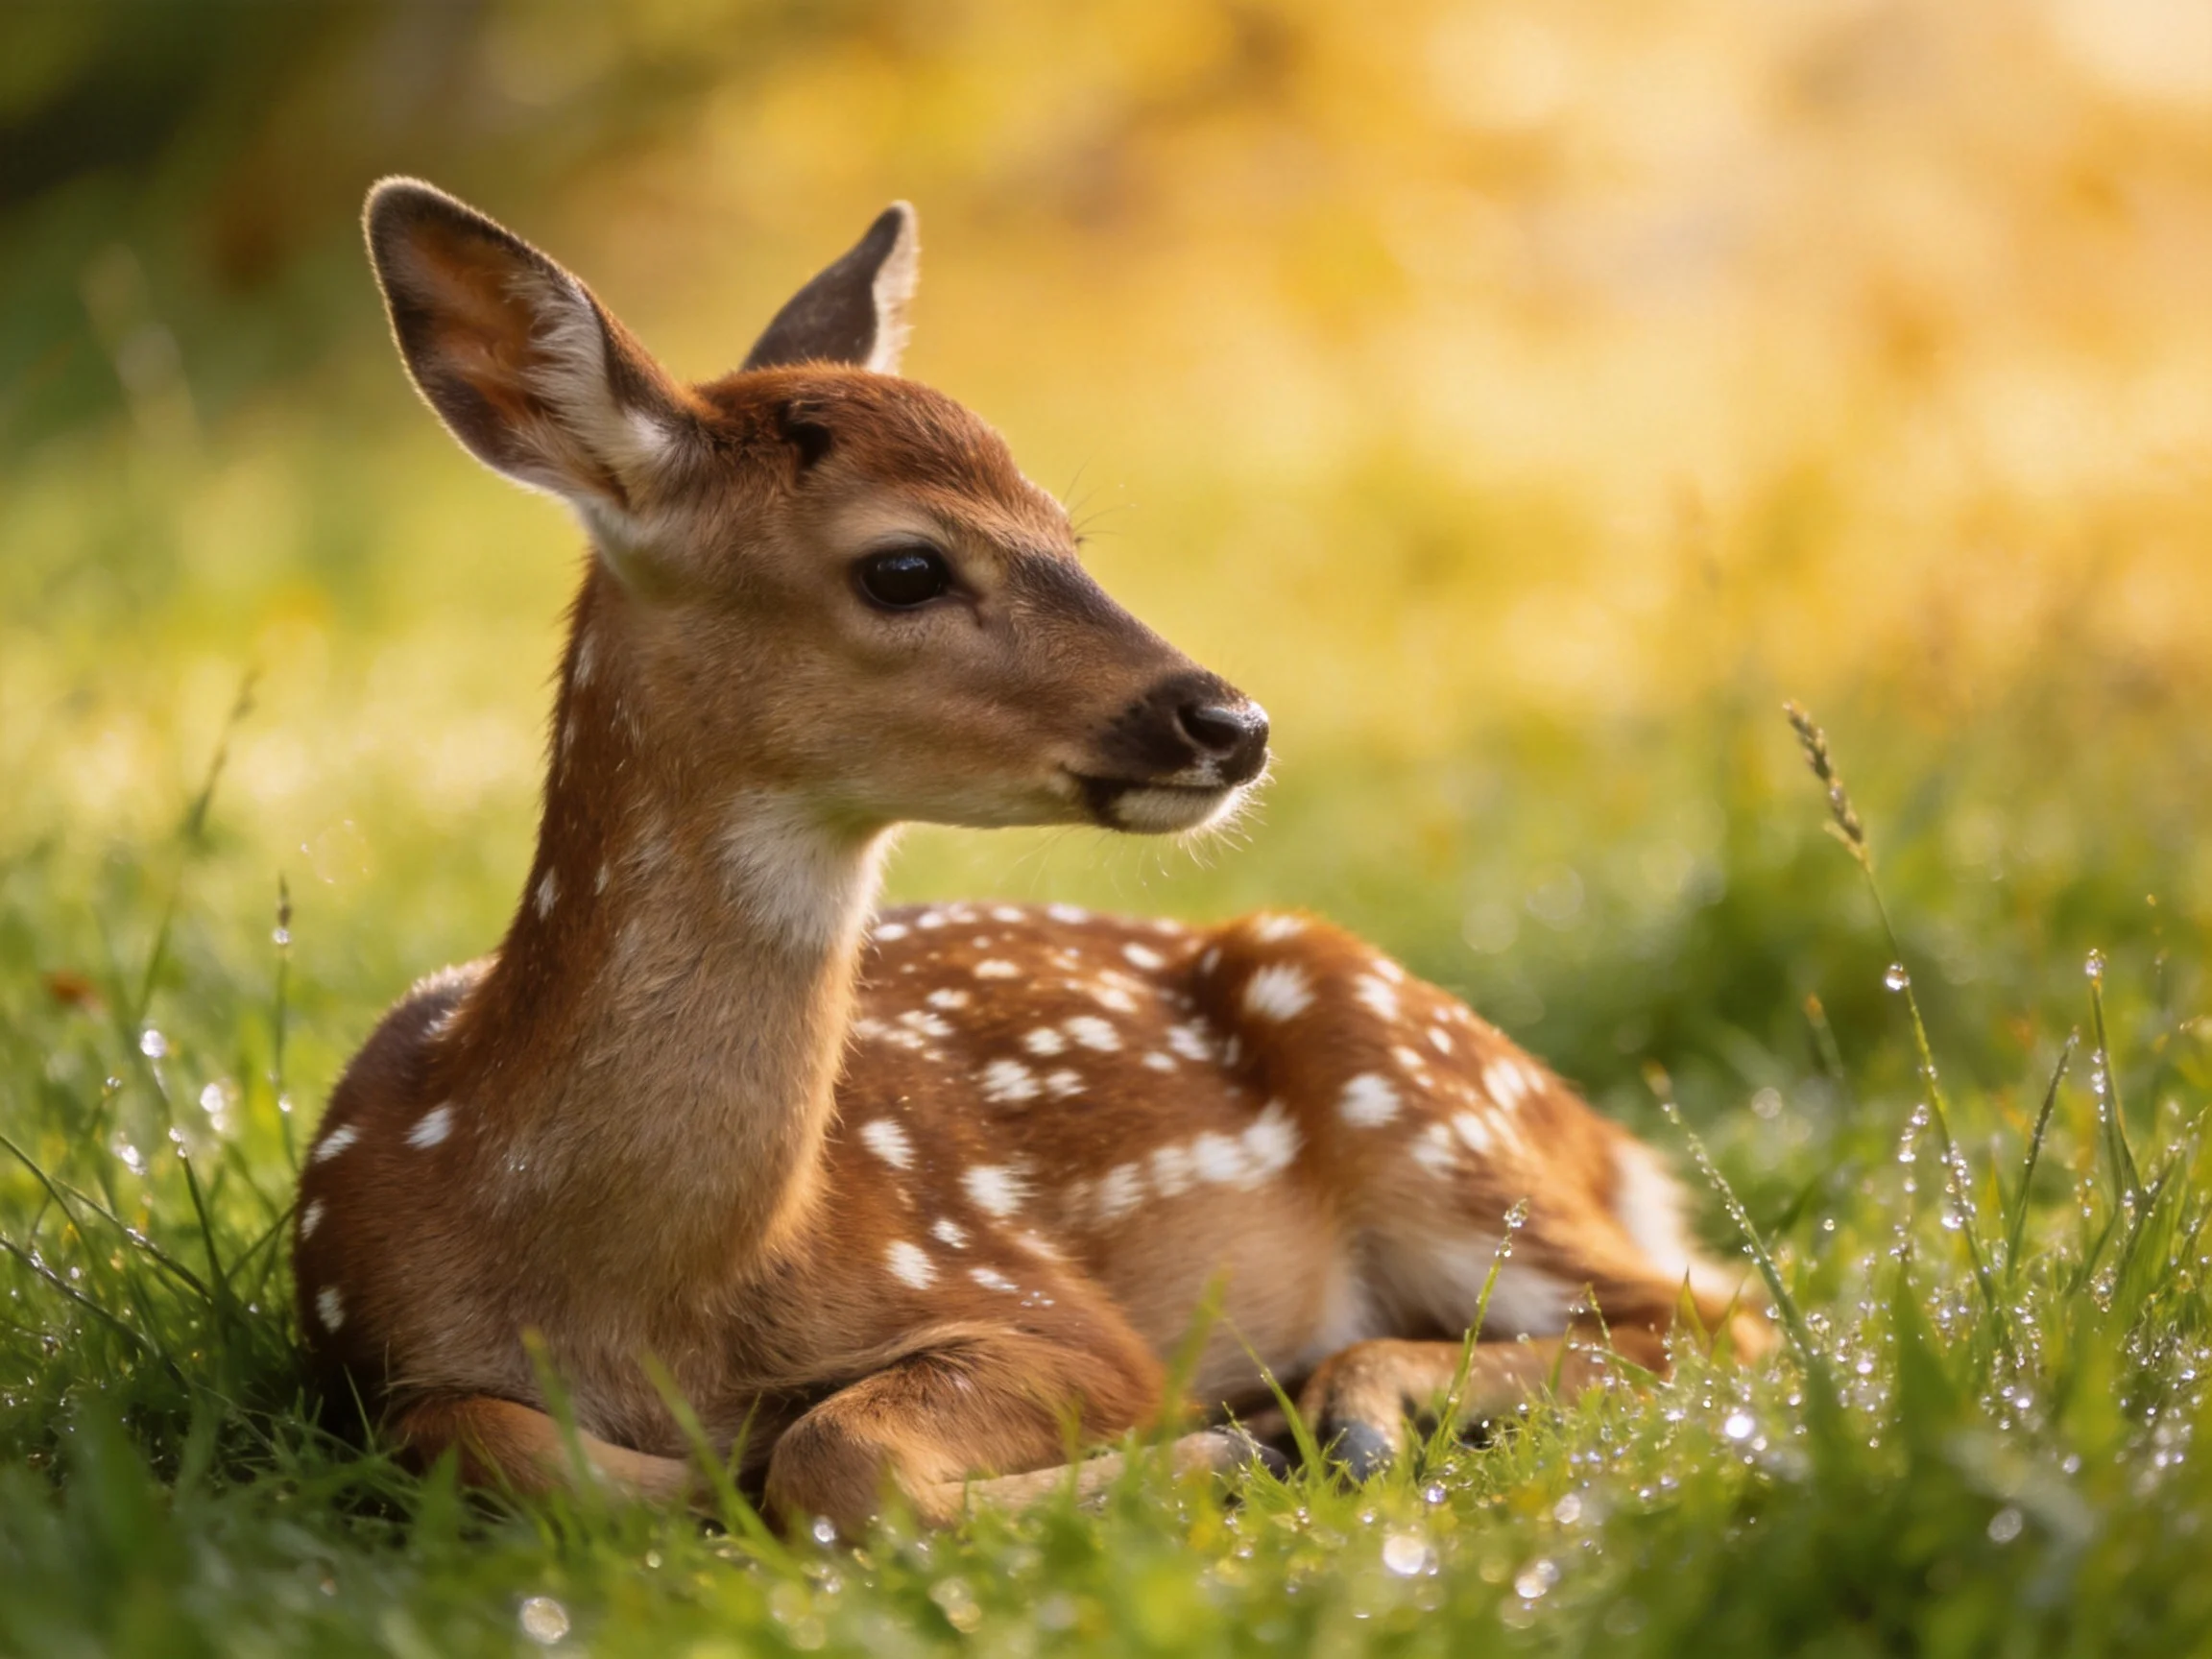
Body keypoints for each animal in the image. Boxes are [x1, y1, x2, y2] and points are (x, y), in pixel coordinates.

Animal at [293, 177, 1765, 1536]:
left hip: (1419, 1092)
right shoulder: (366, 1351)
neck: (636, 1294)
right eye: (903, 566)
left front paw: (1217, 1447)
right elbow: (507, 1446)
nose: (1231, 722)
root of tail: (1605, 1141)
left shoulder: (1046, 1309)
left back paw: (1336, 1410)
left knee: (1715, 1316)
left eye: (1066, 531)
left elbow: (837, 1455)